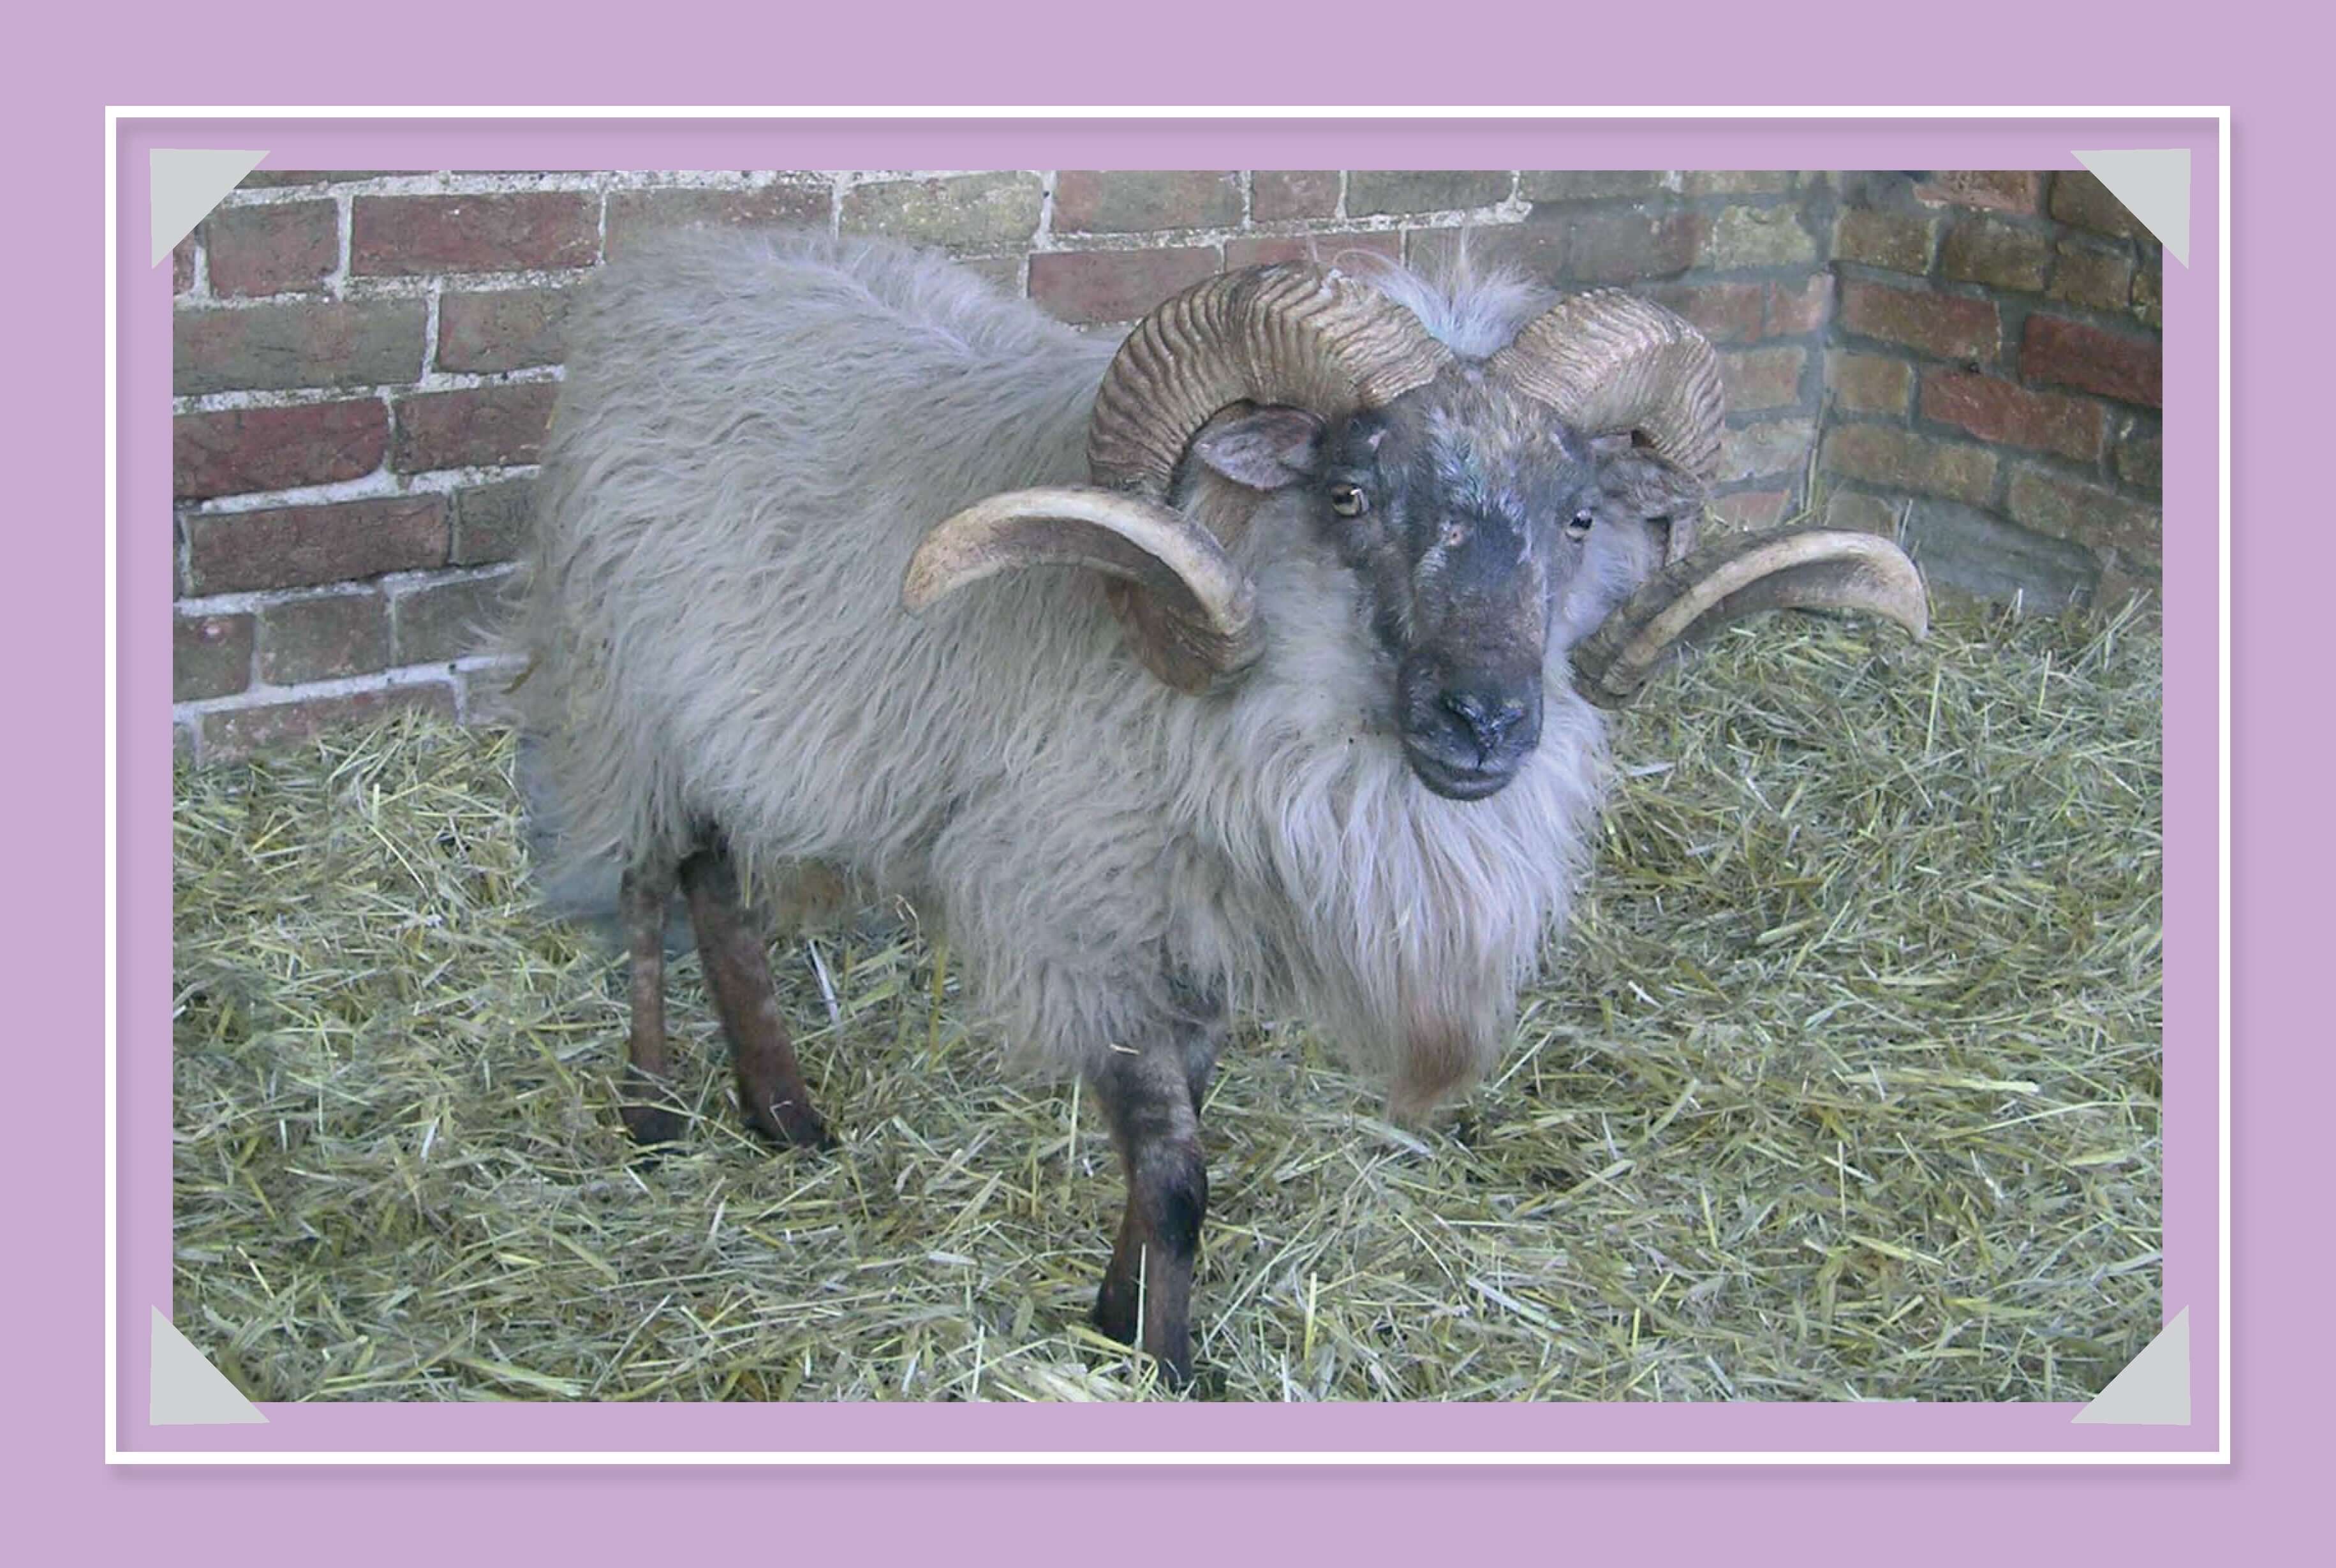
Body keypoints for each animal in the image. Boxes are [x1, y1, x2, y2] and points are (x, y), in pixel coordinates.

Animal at [508, 229, 1928, 1384]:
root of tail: (670, 260)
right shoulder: (1086, 917)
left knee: (715, 882)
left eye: (1578, 517)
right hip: (619, 697)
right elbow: (1177, 1168)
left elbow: (1174, 1142)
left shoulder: (1196, 927)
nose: (1485, 723)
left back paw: (783, 1111)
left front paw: (1118, 1316)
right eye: (1351, 494)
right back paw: (652, 1112)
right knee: (647, 885)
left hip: (723, 727)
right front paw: (1171, 1363)